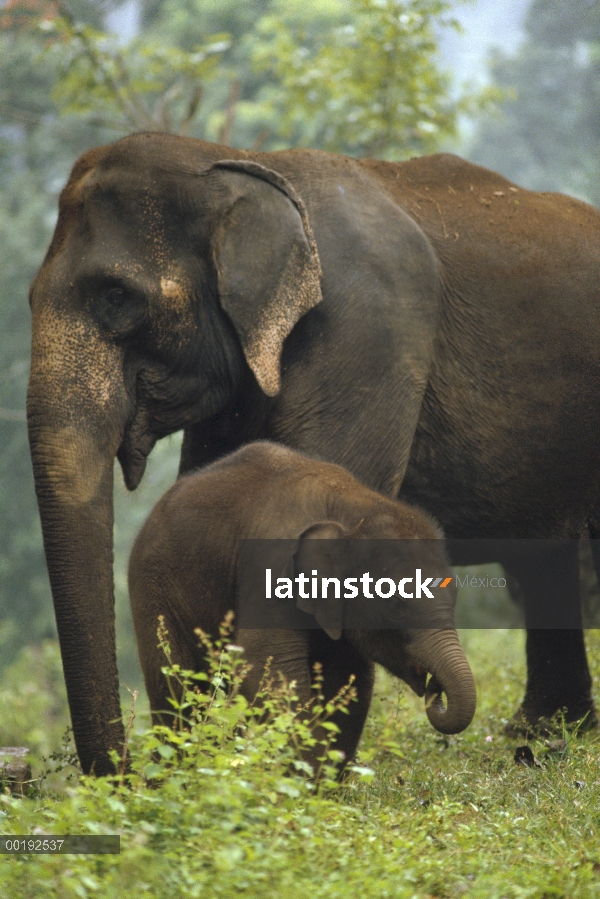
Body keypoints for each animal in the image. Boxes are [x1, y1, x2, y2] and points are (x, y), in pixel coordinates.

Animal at [129, 440, 476, 764]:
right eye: (396, 607)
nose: (435, 689)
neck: (352, 509)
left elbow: (352, 680)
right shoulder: (270, 566)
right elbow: (265, 668)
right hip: (153, 588)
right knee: (177, 689)